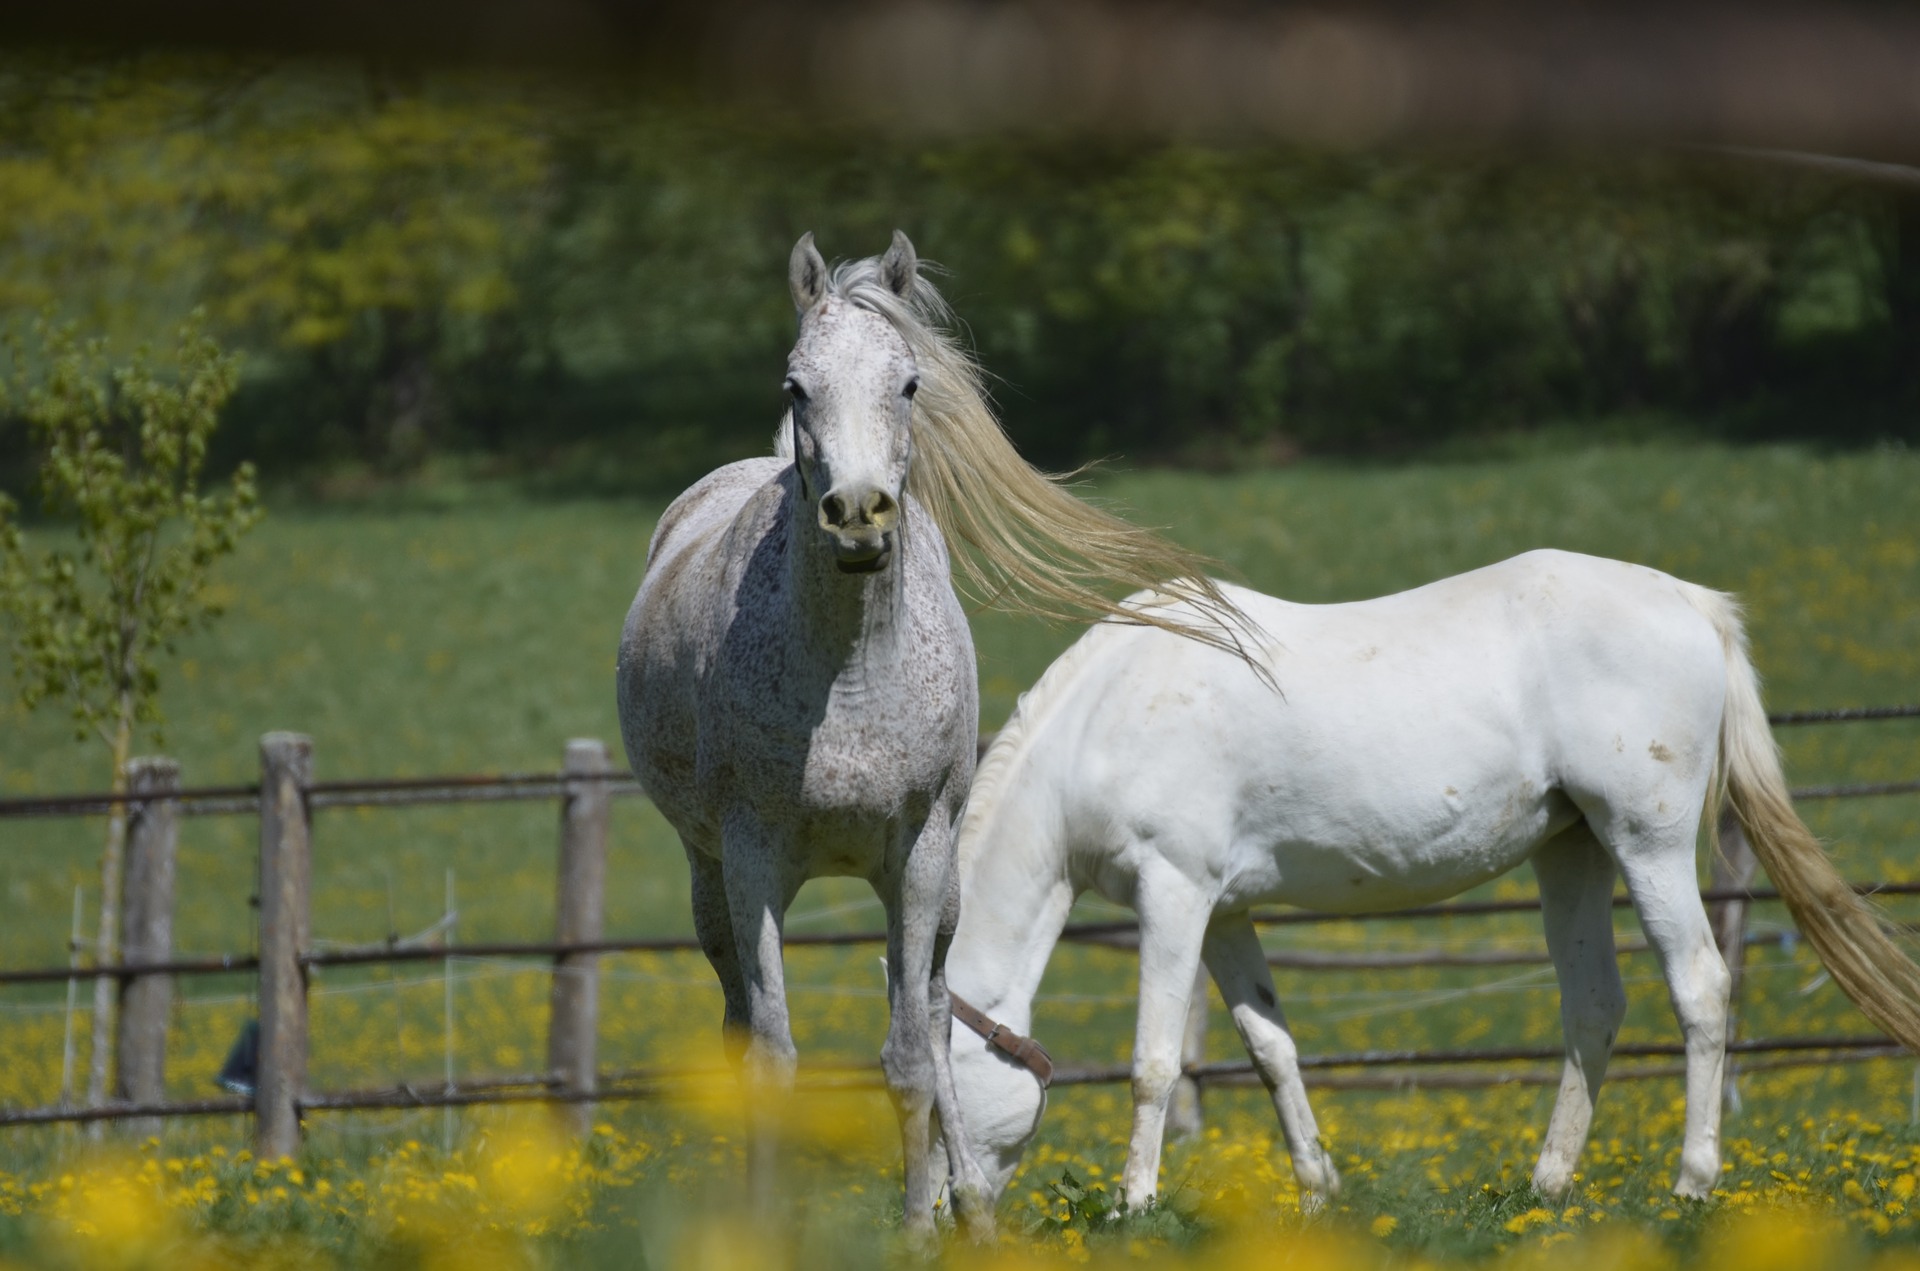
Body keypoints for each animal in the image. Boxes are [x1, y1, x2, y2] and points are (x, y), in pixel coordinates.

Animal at [618, 234, 1244, 1236]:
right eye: (796, 385)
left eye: (908, 382)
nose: (857, 512)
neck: (850, 677)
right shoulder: (753, 861)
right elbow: (773, 1055)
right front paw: (766, 1226)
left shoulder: (916, 855)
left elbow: (911, 1051)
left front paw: (920, 1225)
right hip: (708, 875)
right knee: (739, 1024)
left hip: (933, 889)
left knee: (942, 1012)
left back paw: (972, 1210)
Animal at [936, 552, 1920, 1221]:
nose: (946, 1217)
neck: (1105, 718)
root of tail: (1690, 600)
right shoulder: (1226, 913)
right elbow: (1270, 1048)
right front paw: (1317, 1190)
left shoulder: (1174, 893)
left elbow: (1153, 1062)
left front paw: (1132, 1205)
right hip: (1573, 850)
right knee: (1594, 1005)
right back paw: (1546, 1184)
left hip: (1650, 842)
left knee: (1702, 990)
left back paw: (1691, 1182)